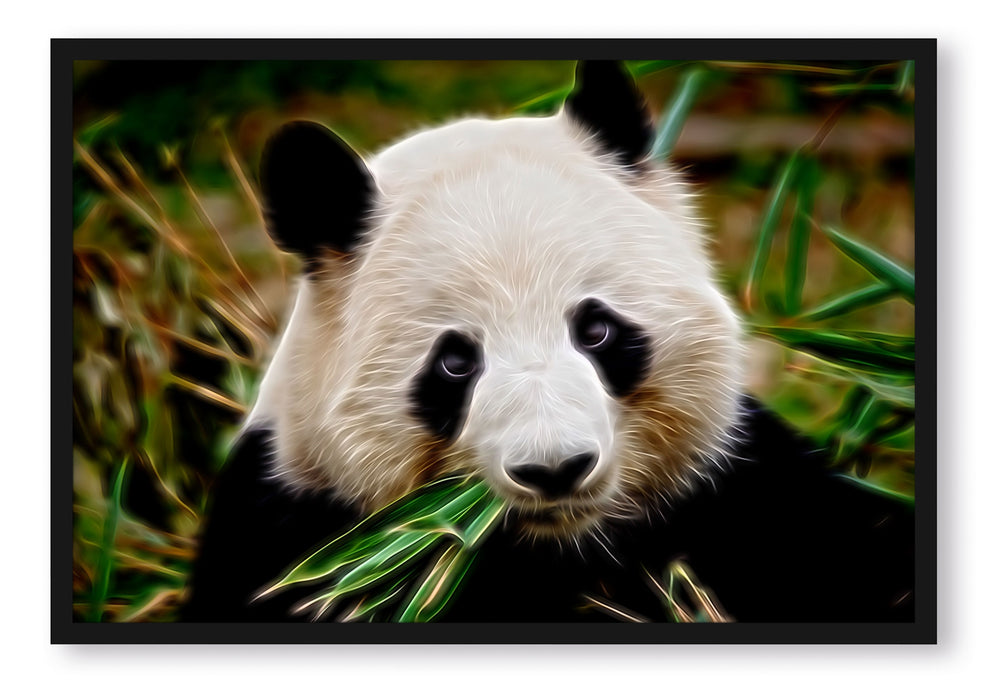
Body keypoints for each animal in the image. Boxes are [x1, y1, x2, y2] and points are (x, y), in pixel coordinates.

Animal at [185, 61, 914, 623]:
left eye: (597, 330)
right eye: (455, 361)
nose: (556, 469)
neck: (563, 548)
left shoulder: (741, 485)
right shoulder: (297, 528)